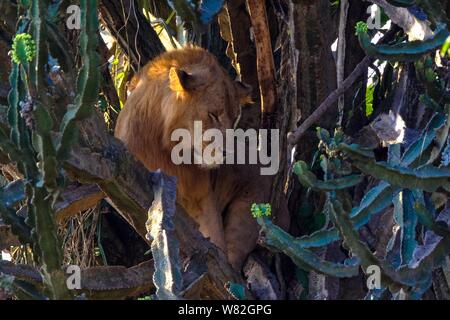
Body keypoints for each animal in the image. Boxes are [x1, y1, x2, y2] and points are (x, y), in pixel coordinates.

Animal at [114, 46, 286, 268]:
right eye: (213, 115)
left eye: (235, 119)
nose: (228, 153)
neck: (166, 149)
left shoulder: (201, 195)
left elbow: (216, 241)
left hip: (248, 210)